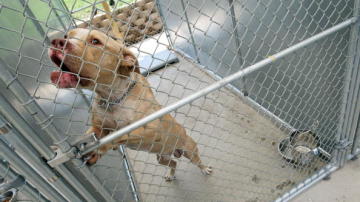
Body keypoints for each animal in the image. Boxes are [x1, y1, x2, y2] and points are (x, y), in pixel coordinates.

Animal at [47, 28, 211, 180]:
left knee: (197, 161)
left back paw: (205, 169)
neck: (112, 98)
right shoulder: (99, 127)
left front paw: (104, 146)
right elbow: (89, 135)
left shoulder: (151, 128)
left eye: (95, 41)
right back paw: (170, 174)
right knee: (173, 163)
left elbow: (119, 135)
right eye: (67, 36)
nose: (57, 42)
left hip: (190, 150)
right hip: (162, 158)